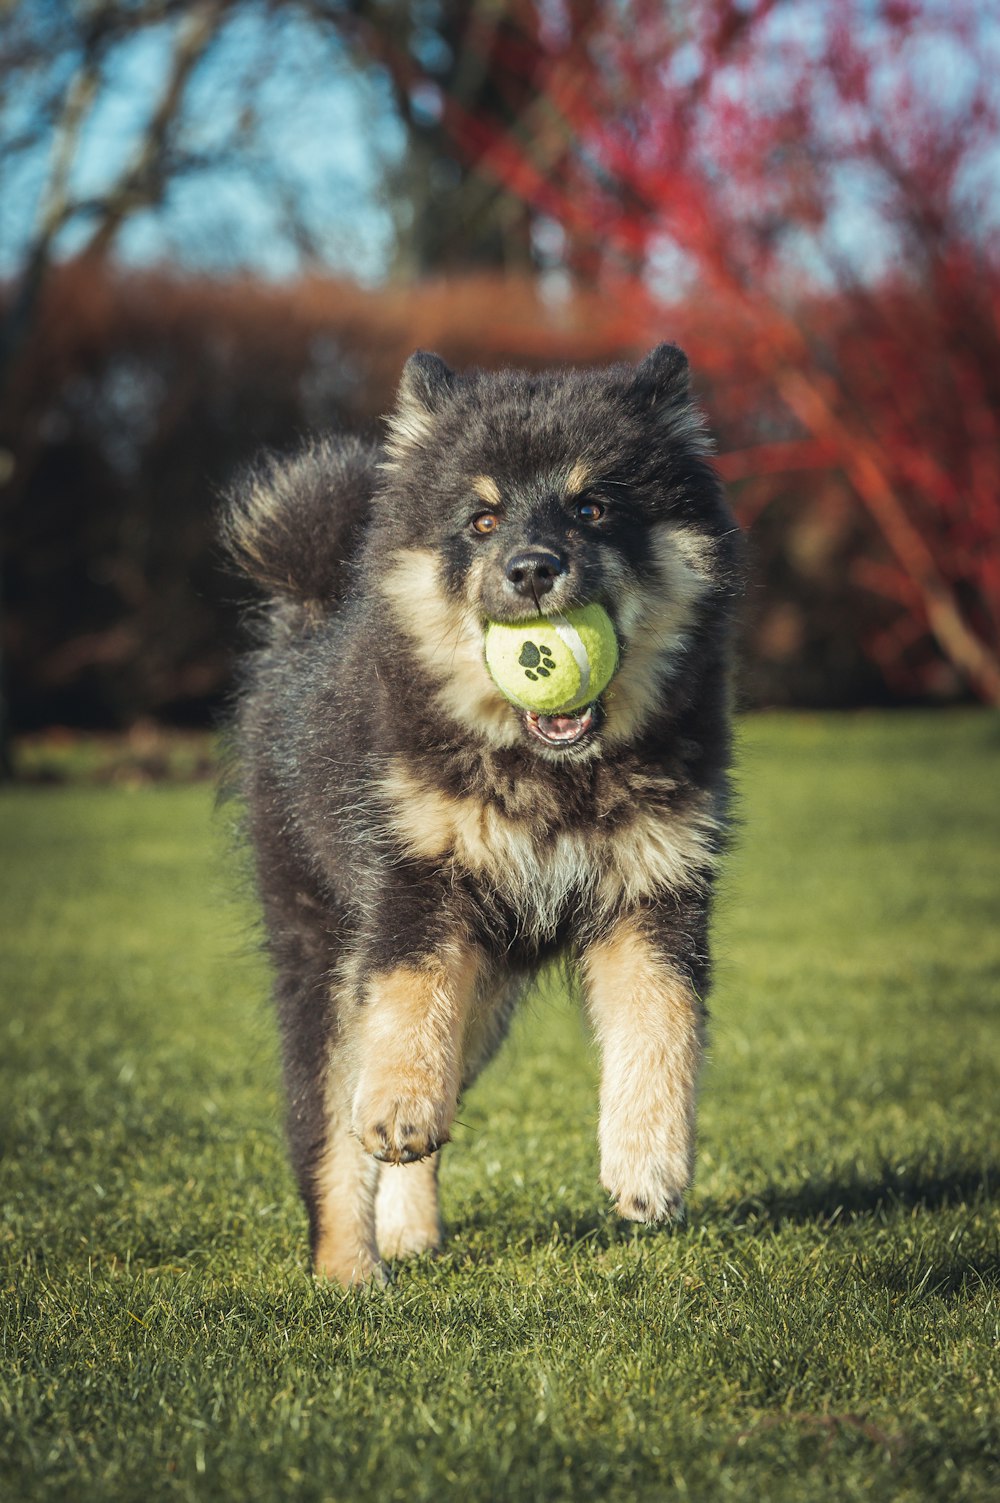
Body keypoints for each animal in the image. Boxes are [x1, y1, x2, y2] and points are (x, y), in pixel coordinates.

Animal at [224, 345, 739, 1286]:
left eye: (593, 506)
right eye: (483, 520)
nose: (533, 569)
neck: (551, 778)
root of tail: (305, 614)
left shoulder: (656, 892)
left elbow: (662, 1026)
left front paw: (649, 1165)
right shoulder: (415, 882)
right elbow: (408, 1003)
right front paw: (398, 1104)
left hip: (491, 991)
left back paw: (407, 1229)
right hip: (324, 958)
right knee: (332, 1130)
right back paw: (350, 1273)